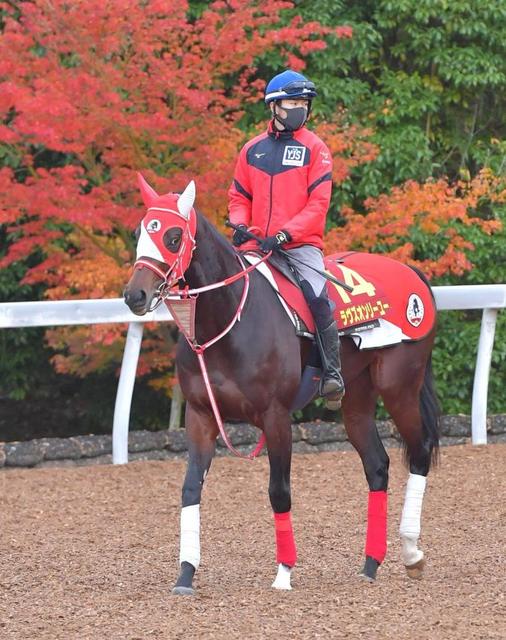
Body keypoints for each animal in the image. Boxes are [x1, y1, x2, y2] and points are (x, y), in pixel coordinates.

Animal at [122, 176, 438, 596]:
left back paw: (412, 553)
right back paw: (371, 563)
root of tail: (412, 273)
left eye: (173, 237)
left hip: (400, 386)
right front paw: (186, 573)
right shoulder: (201, 416)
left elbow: (279, 491)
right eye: (140, 232)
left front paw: (284, 572)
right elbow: (190, 489)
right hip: (356, 398)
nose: (134, 295)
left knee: (419, 452)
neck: (230, 320)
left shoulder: (276, 418)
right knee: (377, 466)